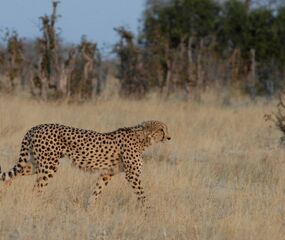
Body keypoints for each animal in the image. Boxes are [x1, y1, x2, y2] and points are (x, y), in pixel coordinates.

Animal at [0, 121, 171, 207]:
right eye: (161, 130)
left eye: (166, 129)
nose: (169, 138)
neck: (143, 138)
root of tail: (36, 126)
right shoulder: (132, 175)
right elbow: (142, 195)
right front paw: (149, 212)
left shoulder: (106, 174)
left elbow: (96, 193)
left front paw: (89, 209)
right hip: (49, 166)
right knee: (37, 188)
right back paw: (37, 206)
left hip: (37, 164)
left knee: (16, 173)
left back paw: (5, 190)